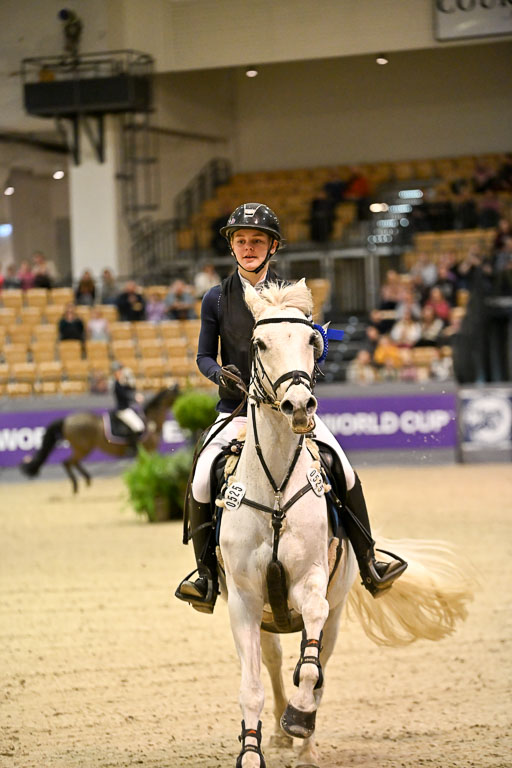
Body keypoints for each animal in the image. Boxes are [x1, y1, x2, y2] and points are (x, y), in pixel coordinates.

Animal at [20, 385, 179, 493]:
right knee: (68, 462)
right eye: (178, 394)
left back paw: (86, 480)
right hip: (83, 448)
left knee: (72, 462)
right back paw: (77, 485)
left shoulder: (146, 453)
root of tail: (67, 420)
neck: (151, 421)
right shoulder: (148, 451)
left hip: (82, 448)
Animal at [209, 280, 474, 768]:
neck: (276, 486)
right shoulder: (244, 599)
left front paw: (299, 718)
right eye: (259, 343)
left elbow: (312, 652)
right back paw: (281, 735)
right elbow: (251, 686)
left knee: (317, 661)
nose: (298, 405)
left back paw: (304, 737)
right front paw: (252, 751)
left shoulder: (314, 583)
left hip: (335, 604)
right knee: (273, 660)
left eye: (311, 341)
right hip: (266, 617)